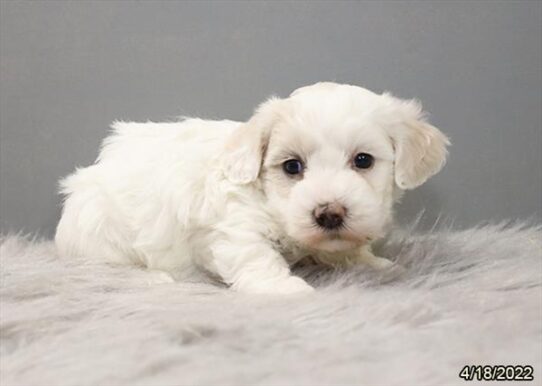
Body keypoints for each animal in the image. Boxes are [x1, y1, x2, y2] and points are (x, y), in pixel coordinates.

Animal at [57, 81, 452, 292]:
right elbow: (254, 254)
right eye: (292, 166)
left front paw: (372, 263)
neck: (272, 202)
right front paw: (285, 289)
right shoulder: (234, 225)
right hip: (102, 235)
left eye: (363, 161)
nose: (329, 214)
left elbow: (344, 251)